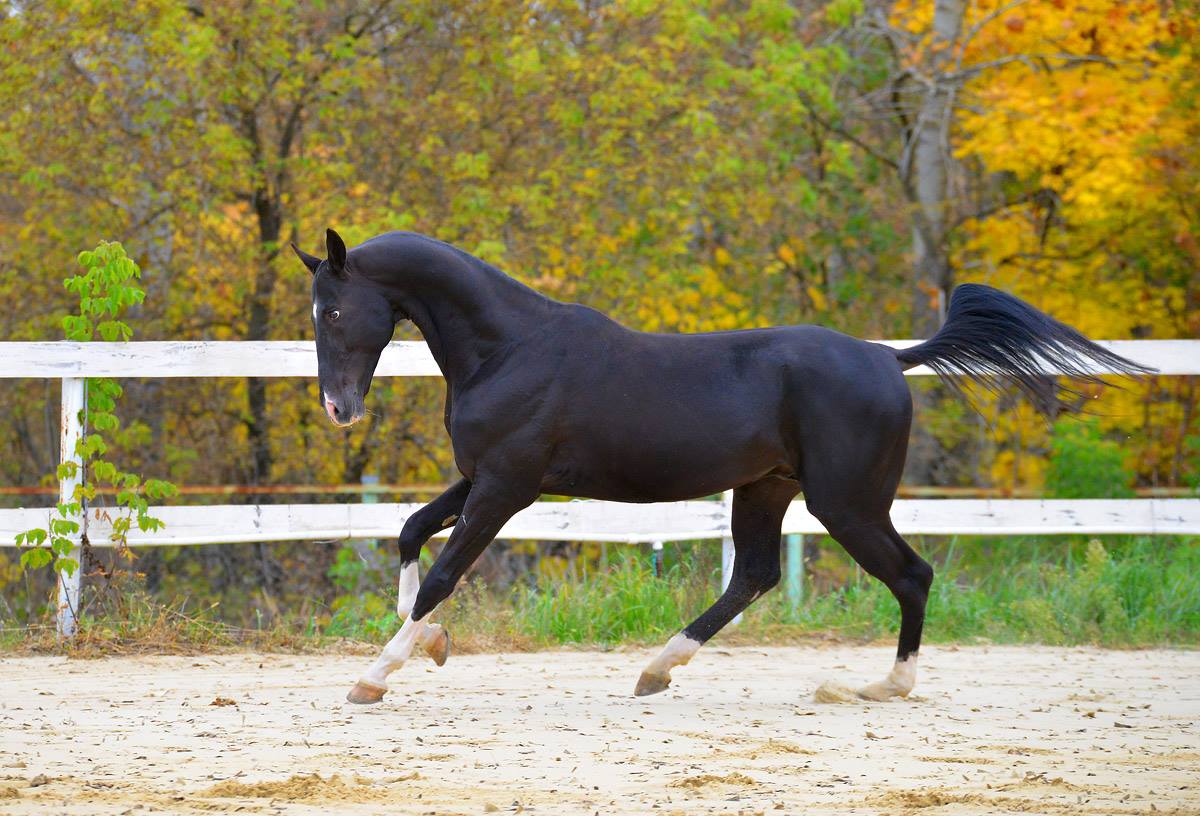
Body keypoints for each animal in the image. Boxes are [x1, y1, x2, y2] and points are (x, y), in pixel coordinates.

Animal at [291, 228, 1149, 705]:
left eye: (332, 311)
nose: (339, 409)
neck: (509, 348)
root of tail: (889, 358)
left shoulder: (508, 488)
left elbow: (441, 572)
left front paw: (376, 675)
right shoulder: (483, 478)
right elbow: (410, 533)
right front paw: (430, 644)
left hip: (847, 502)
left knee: (910, 575)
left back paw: (878, 687)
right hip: (767, 489)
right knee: (756, 575)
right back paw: (657, 671)